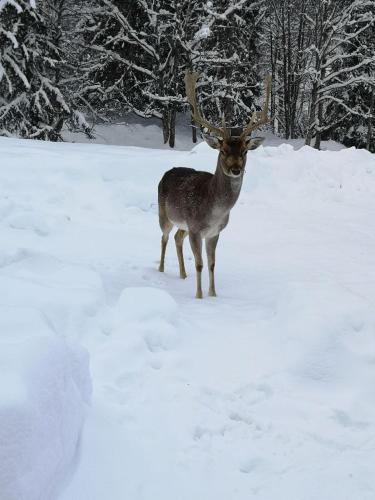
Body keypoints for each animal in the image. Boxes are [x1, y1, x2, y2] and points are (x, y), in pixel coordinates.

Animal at [158, 72, 270, 298]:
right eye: (223, 150)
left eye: (245, 151)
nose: (236, 169)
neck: (214, 210)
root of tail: (167, 172)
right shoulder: (195, 229)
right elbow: (200, 264)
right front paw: (199, 296)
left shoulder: (214, 232)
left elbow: (212, 264)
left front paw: (213, 294)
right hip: (164, 215)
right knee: (163, 237)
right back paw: (161, 269)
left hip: (182, 224)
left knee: (177, 238)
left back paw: (182, 274)